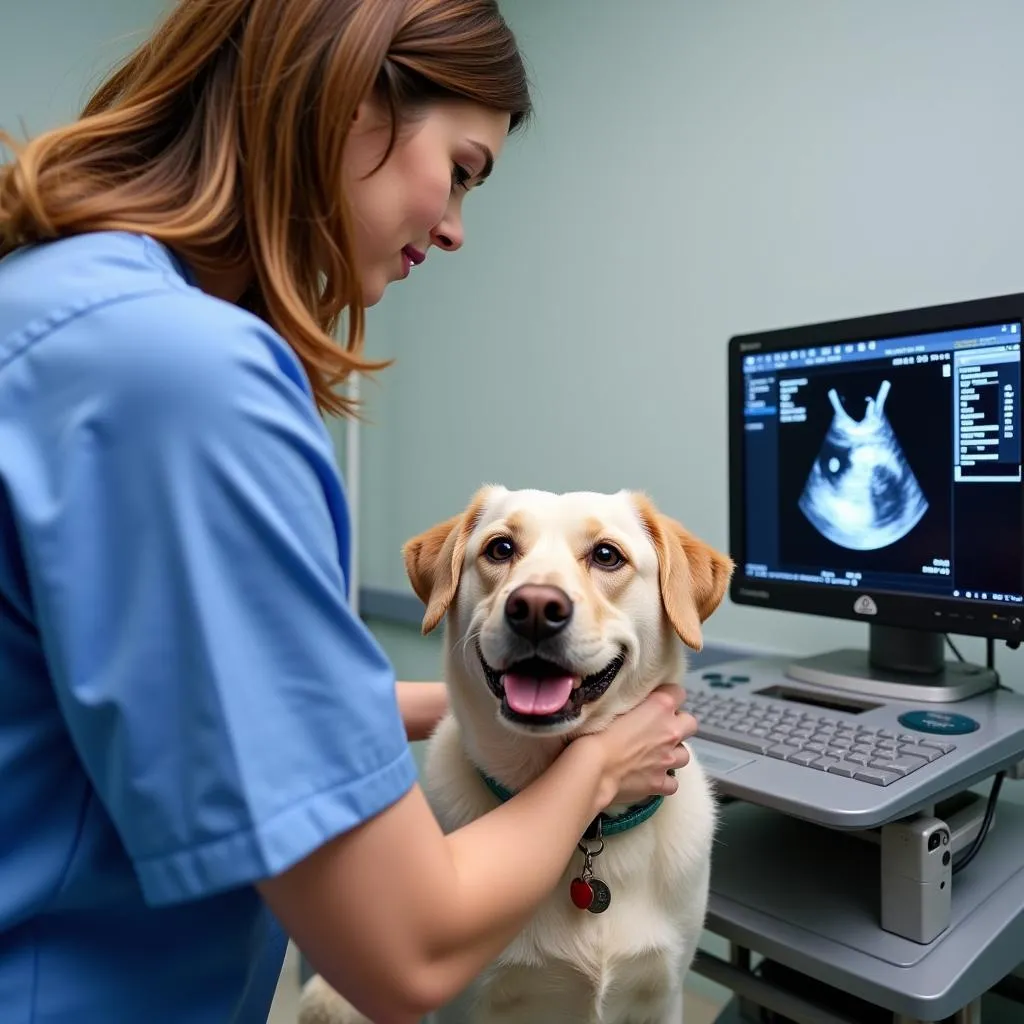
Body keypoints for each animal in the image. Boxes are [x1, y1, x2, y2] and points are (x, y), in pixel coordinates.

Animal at [299, 487, 733, 1024]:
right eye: (500, 548)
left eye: (607, 555)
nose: (535, 607)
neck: (587, 829)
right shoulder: (464, 1005)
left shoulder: (662, 996)